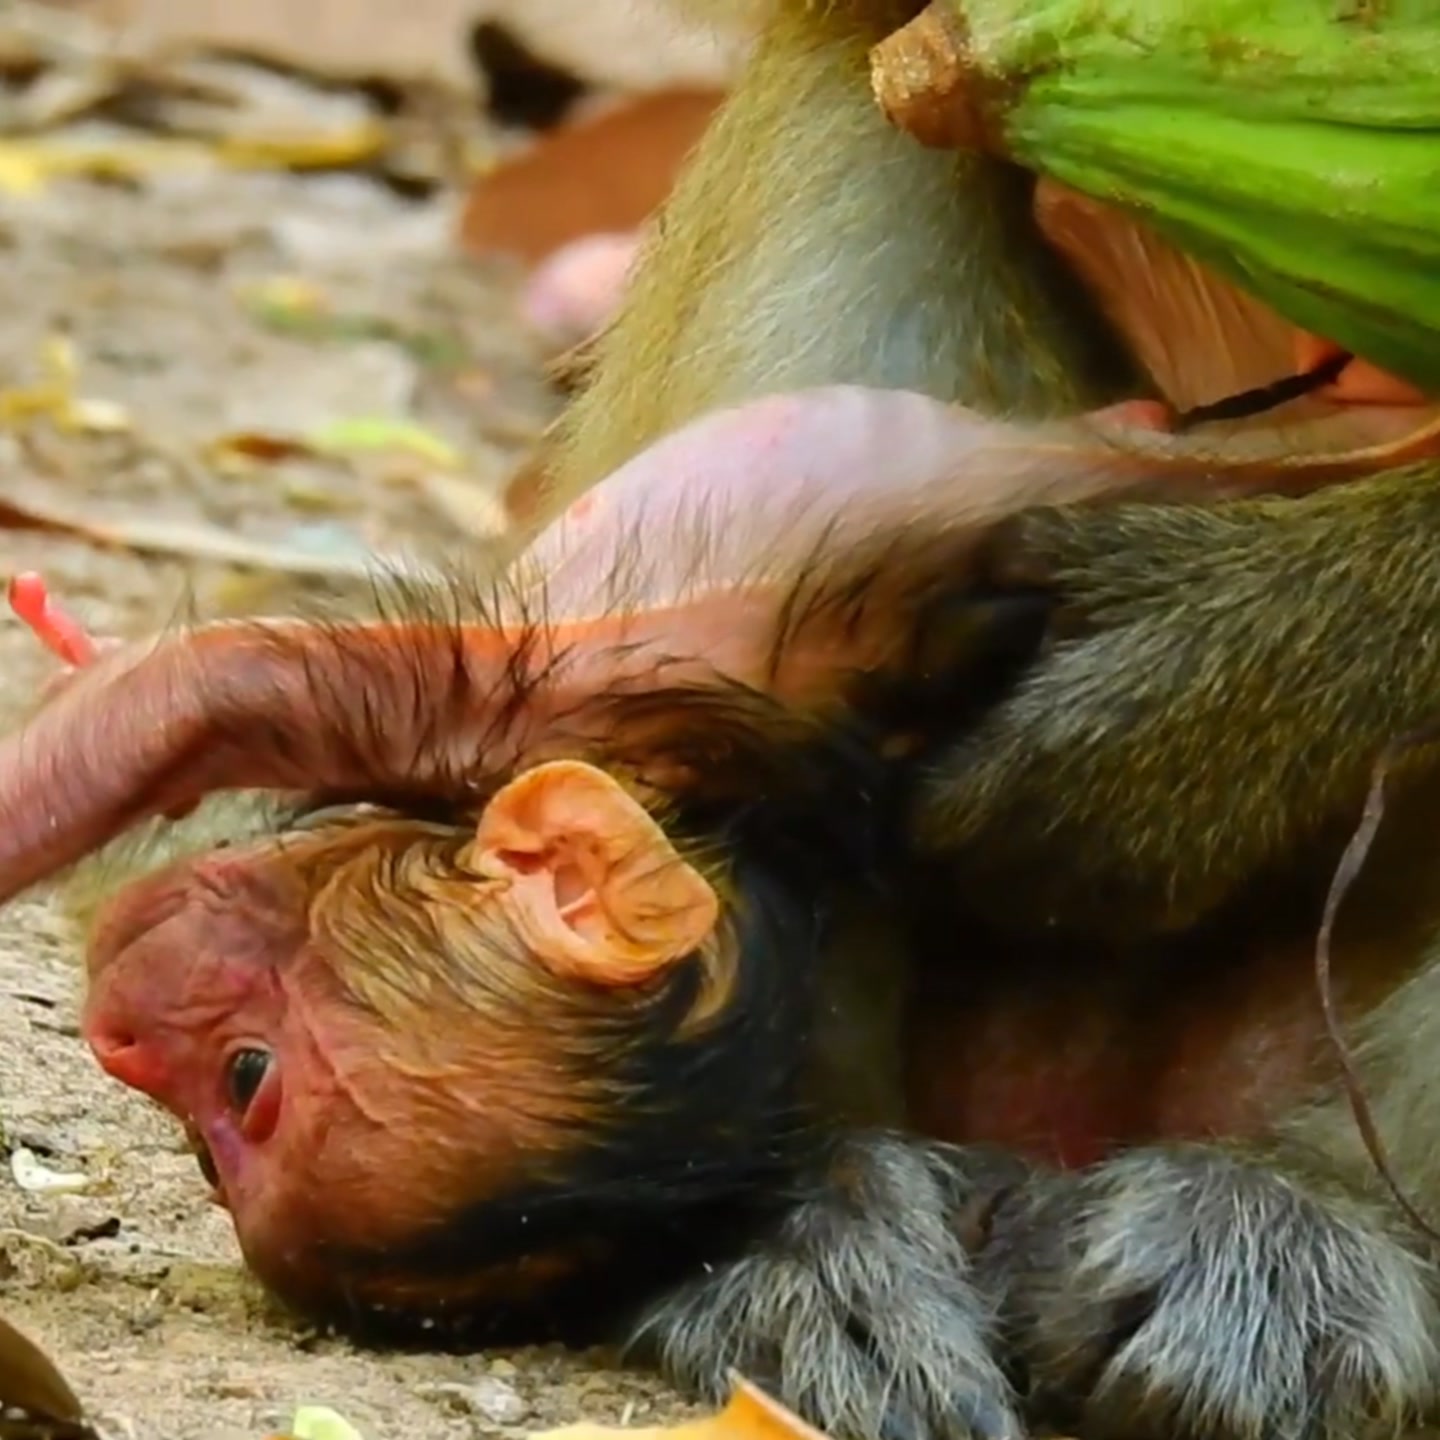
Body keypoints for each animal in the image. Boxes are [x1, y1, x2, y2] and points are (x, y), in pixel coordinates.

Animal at [3, 5, 1440, 1440]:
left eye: (244, 1084)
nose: (129, 1030)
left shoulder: (474, 706)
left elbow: (191, 710)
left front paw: (1223, 662)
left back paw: (1300, 1209)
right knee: (876, 105)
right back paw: (808, 1227)